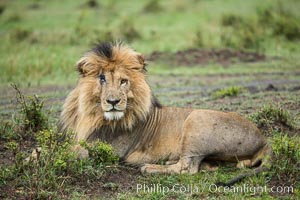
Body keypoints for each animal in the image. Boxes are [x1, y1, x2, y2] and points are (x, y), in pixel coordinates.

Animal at [59, 41, 270, 185]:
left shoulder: (109, 150)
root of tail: (263, 139)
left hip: (196, 118)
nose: (113, 102)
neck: (92, 115)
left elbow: (69, 152)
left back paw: (150, 167)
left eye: (123, 81)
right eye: (102, 79)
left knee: (187, 168)